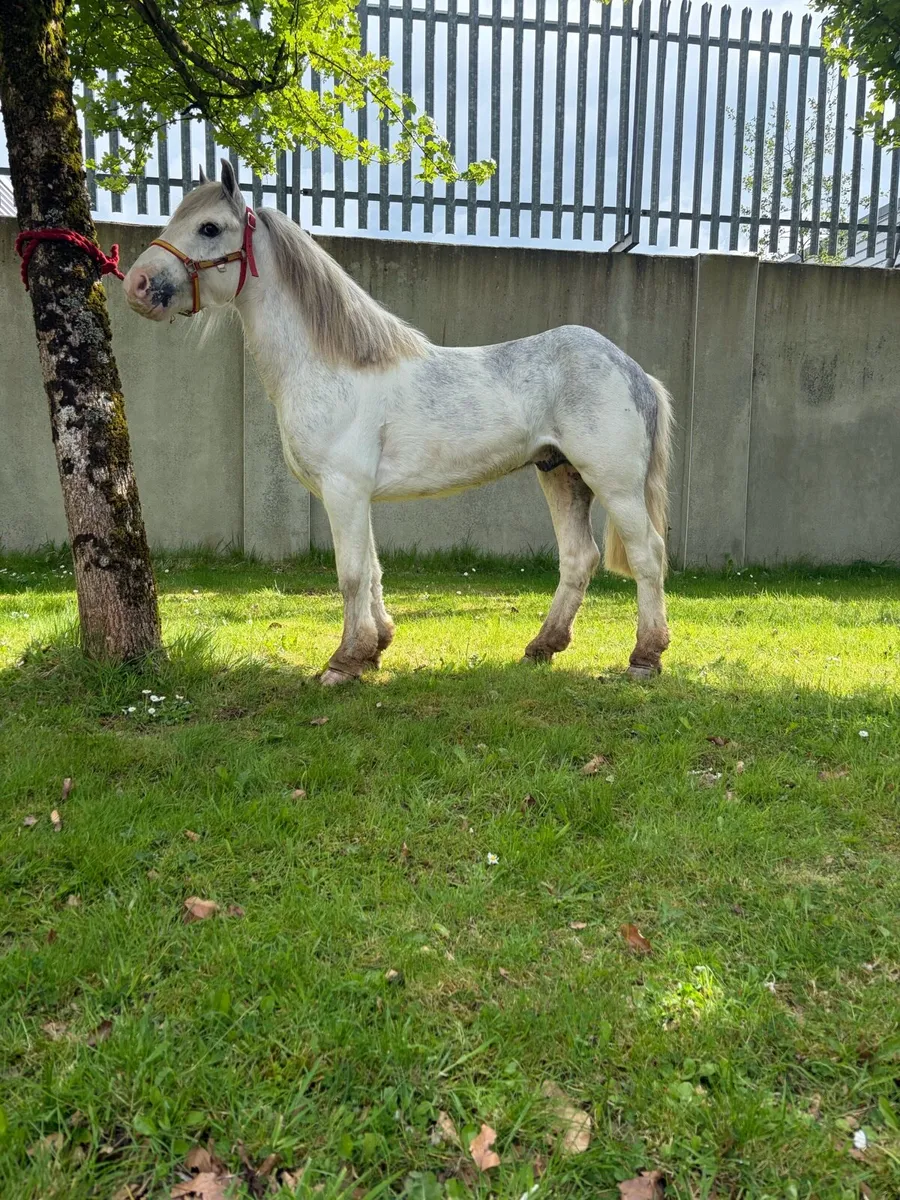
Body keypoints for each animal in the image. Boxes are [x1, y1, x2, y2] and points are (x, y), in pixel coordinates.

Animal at [123, 160, 673, 686]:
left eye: (210, 227)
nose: (136, 285)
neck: (331, 367)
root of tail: (633, 370)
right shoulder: (354, 494)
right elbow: (371, 571)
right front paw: (374, 649)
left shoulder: (344, 489)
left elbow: (350, 574)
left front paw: (343, 663)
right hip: (560, 474)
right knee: (579, 558)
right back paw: (542, 647)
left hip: (614, 483)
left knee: (647, 554)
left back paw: (645, 658)